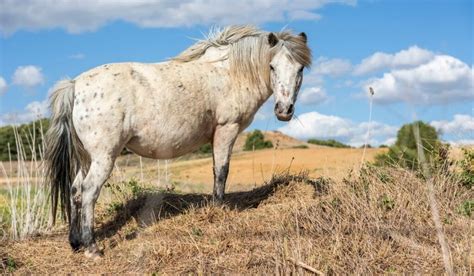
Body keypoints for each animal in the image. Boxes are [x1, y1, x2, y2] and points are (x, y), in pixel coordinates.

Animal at [44, 24, 312, 258]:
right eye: (272, 66)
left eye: (300, 69)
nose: (284, 110)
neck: (228, 72)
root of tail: (75, 86)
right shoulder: (227, 129)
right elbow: (221, 172)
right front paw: (218, 209)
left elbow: (217, 170)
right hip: (104, 157)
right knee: (89, 191)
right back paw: (92, 248)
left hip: (86, 158)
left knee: (75, 190)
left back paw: (75, 242)